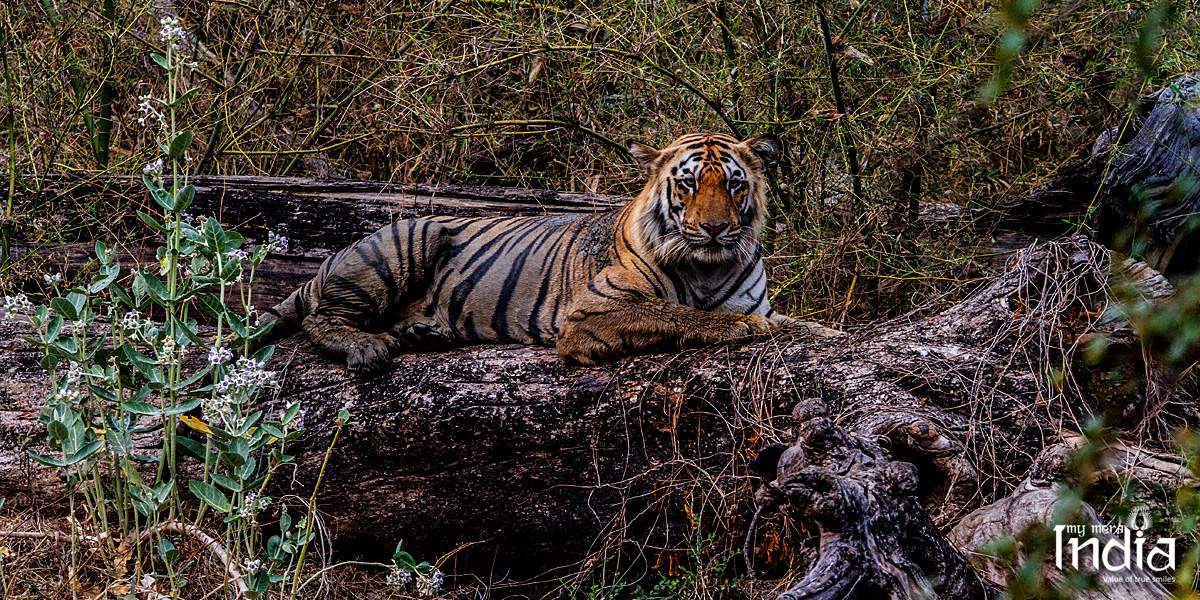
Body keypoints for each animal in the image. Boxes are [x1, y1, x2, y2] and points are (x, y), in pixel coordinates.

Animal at [264, 132, 806, 369]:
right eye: (689, 184)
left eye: (735, 185)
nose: (715, 229)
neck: (708, 267)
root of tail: (332, 258)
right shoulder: (590, 313)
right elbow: (675, 313)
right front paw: (744, 328)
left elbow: (802, 325)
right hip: (406, 239)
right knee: (321, 318)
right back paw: (367, 347)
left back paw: (424, 334)